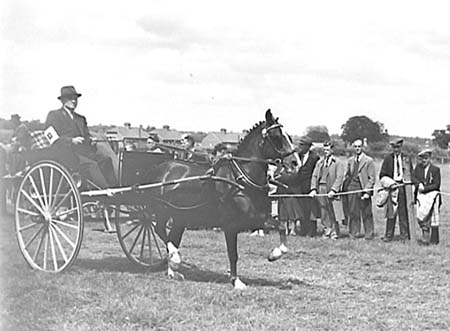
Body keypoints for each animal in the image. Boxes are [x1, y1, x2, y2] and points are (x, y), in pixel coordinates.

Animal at [149, 110, 300, 290]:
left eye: (289, 136)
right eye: (276, 136)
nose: (295, 163)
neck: (240, 180)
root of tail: (161, 167)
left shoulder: (257, 219)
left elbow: (282, 226)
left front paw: (274, 254)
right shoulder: (231, 225)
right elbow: (233, 254)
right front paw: (236, 281)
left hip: (180, 217)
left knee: (172, 237)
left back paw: (173, 269)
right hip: (162, 211)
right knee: (159, 230)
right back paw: (175, 258)